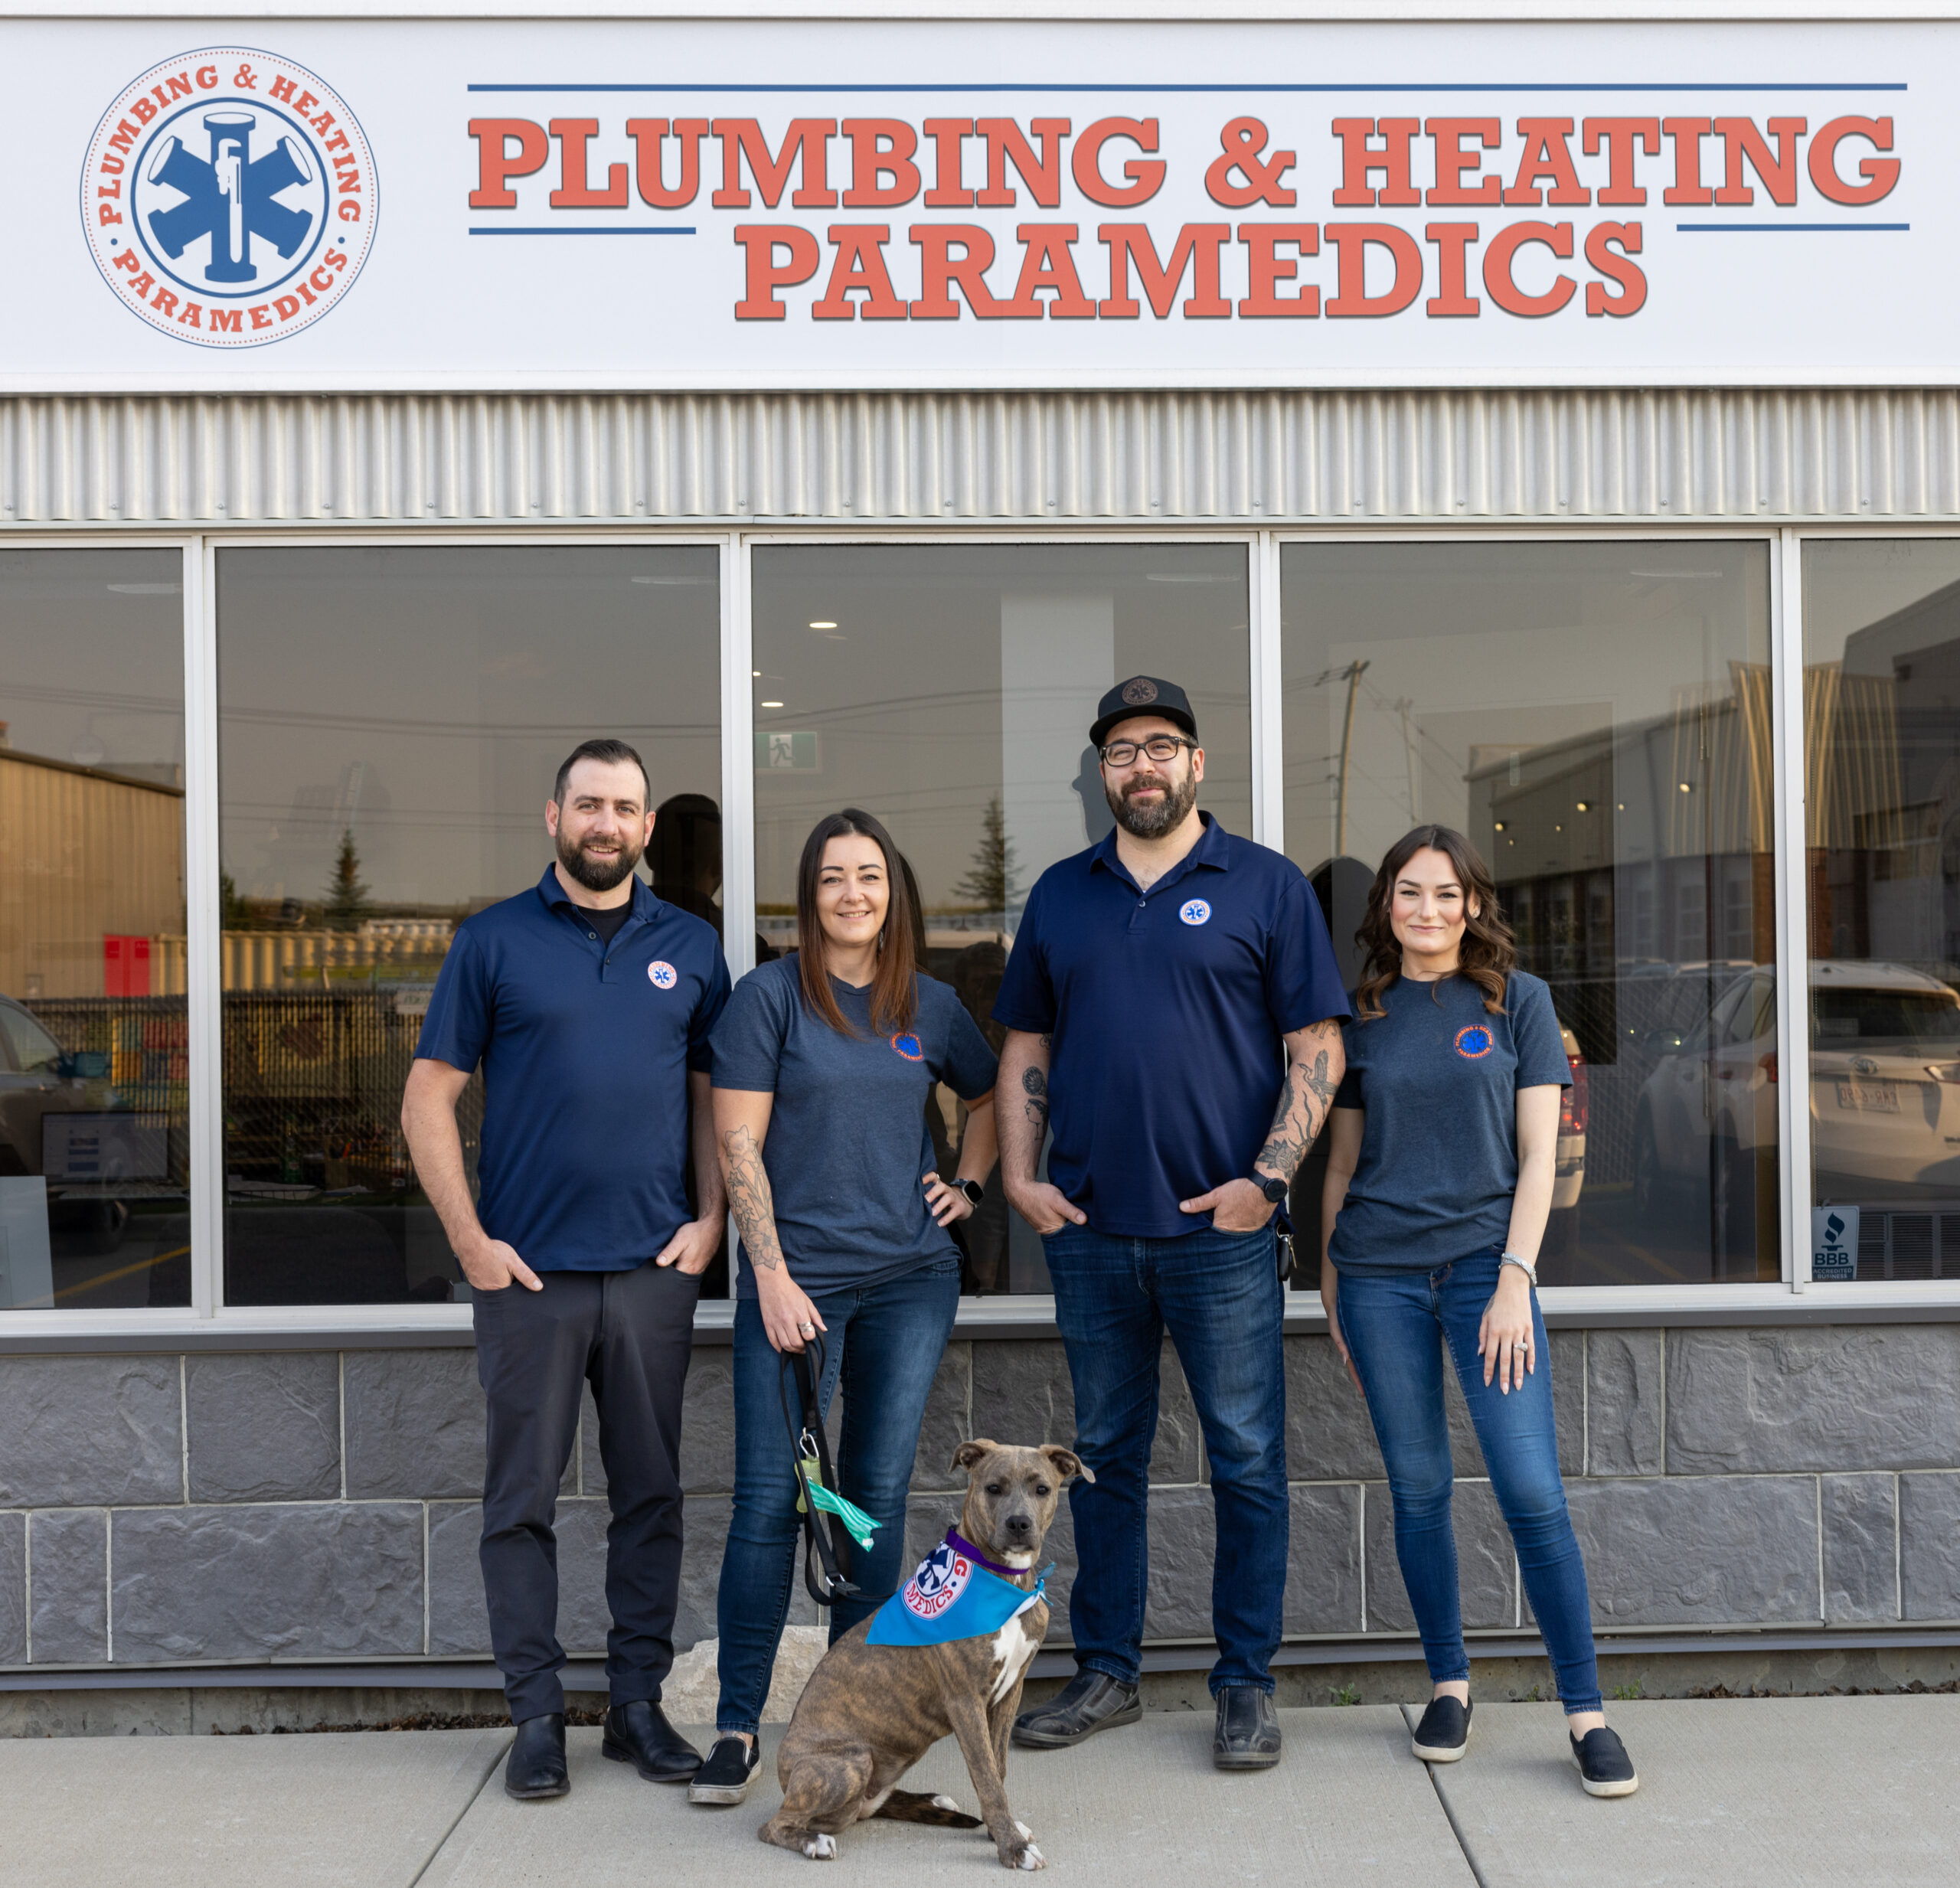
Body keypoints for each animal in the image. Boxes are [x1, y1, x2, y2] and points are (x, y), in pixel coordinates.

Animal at [756, 1442, 1089, 1866]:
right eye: (993, 1488)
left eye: (1042, 1489)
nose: (1019, 1524)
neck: (1004, 1584)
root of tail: (786, 1777)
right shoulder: (965, 1700)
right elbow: (987, 1777)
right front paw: (1012, 1846)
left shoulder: (1010, 1693)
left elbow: (997, 1768)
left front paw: (1001, 1831)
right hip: (849, 1762)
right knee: (775, 1825)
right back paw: (812, 1840)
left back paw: (931, 1801)